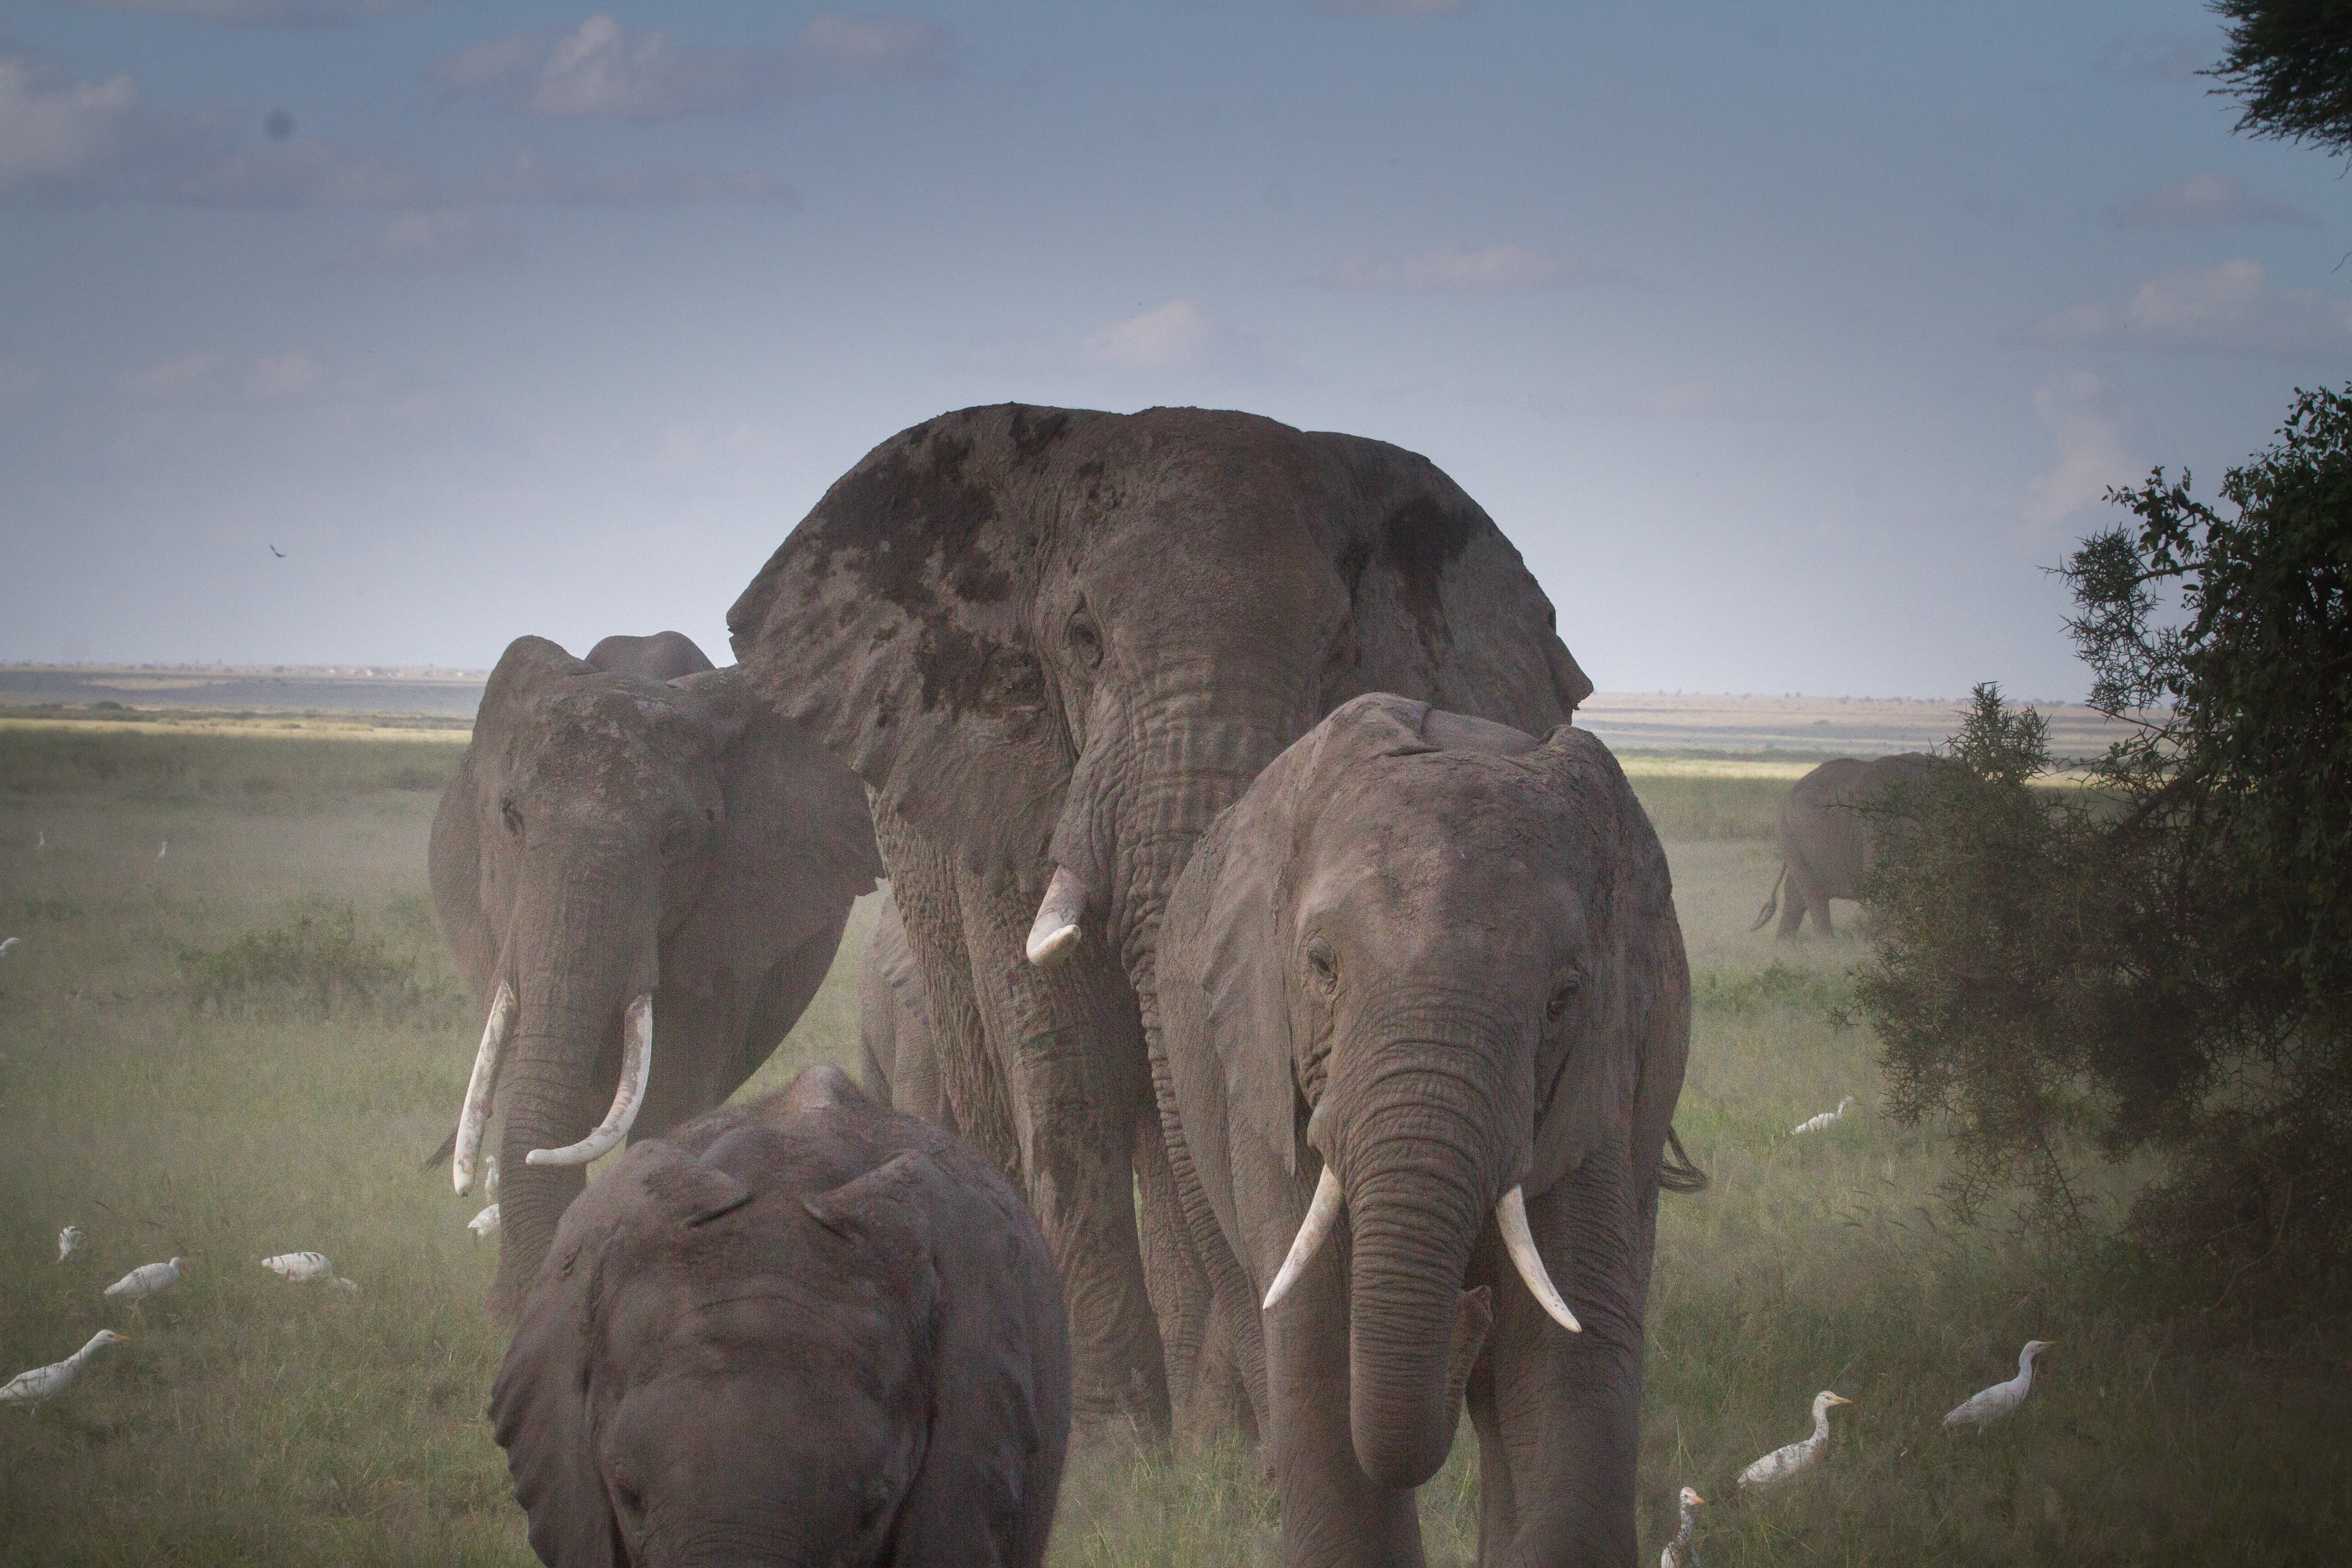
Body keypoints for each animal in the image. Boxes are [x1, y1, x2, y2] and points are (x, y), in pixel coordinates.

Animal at [727, 403, 1593, 1439]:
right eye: (1083, 638)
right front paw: (1118, 1443)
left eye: (1339, 650)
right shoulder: (1013, 787)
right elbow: (1067, 1078)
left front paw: (1223, 1435)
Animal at [1157, 694, 1692, 1567]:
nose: (1468, 1310)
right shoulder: (1270, 1067)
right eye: (1321, 967)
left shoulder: (1600, 1078)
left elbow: (1565, 1354)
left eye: (1562, 998)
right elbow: (1314, 1337)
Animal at [1751, 753, 1940, 938]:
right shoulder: (1878, 826)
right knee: (1813, 894)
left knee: (1796, 894)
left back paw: (1785, 945)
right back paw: (1826, 945)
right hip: (1789, 833)